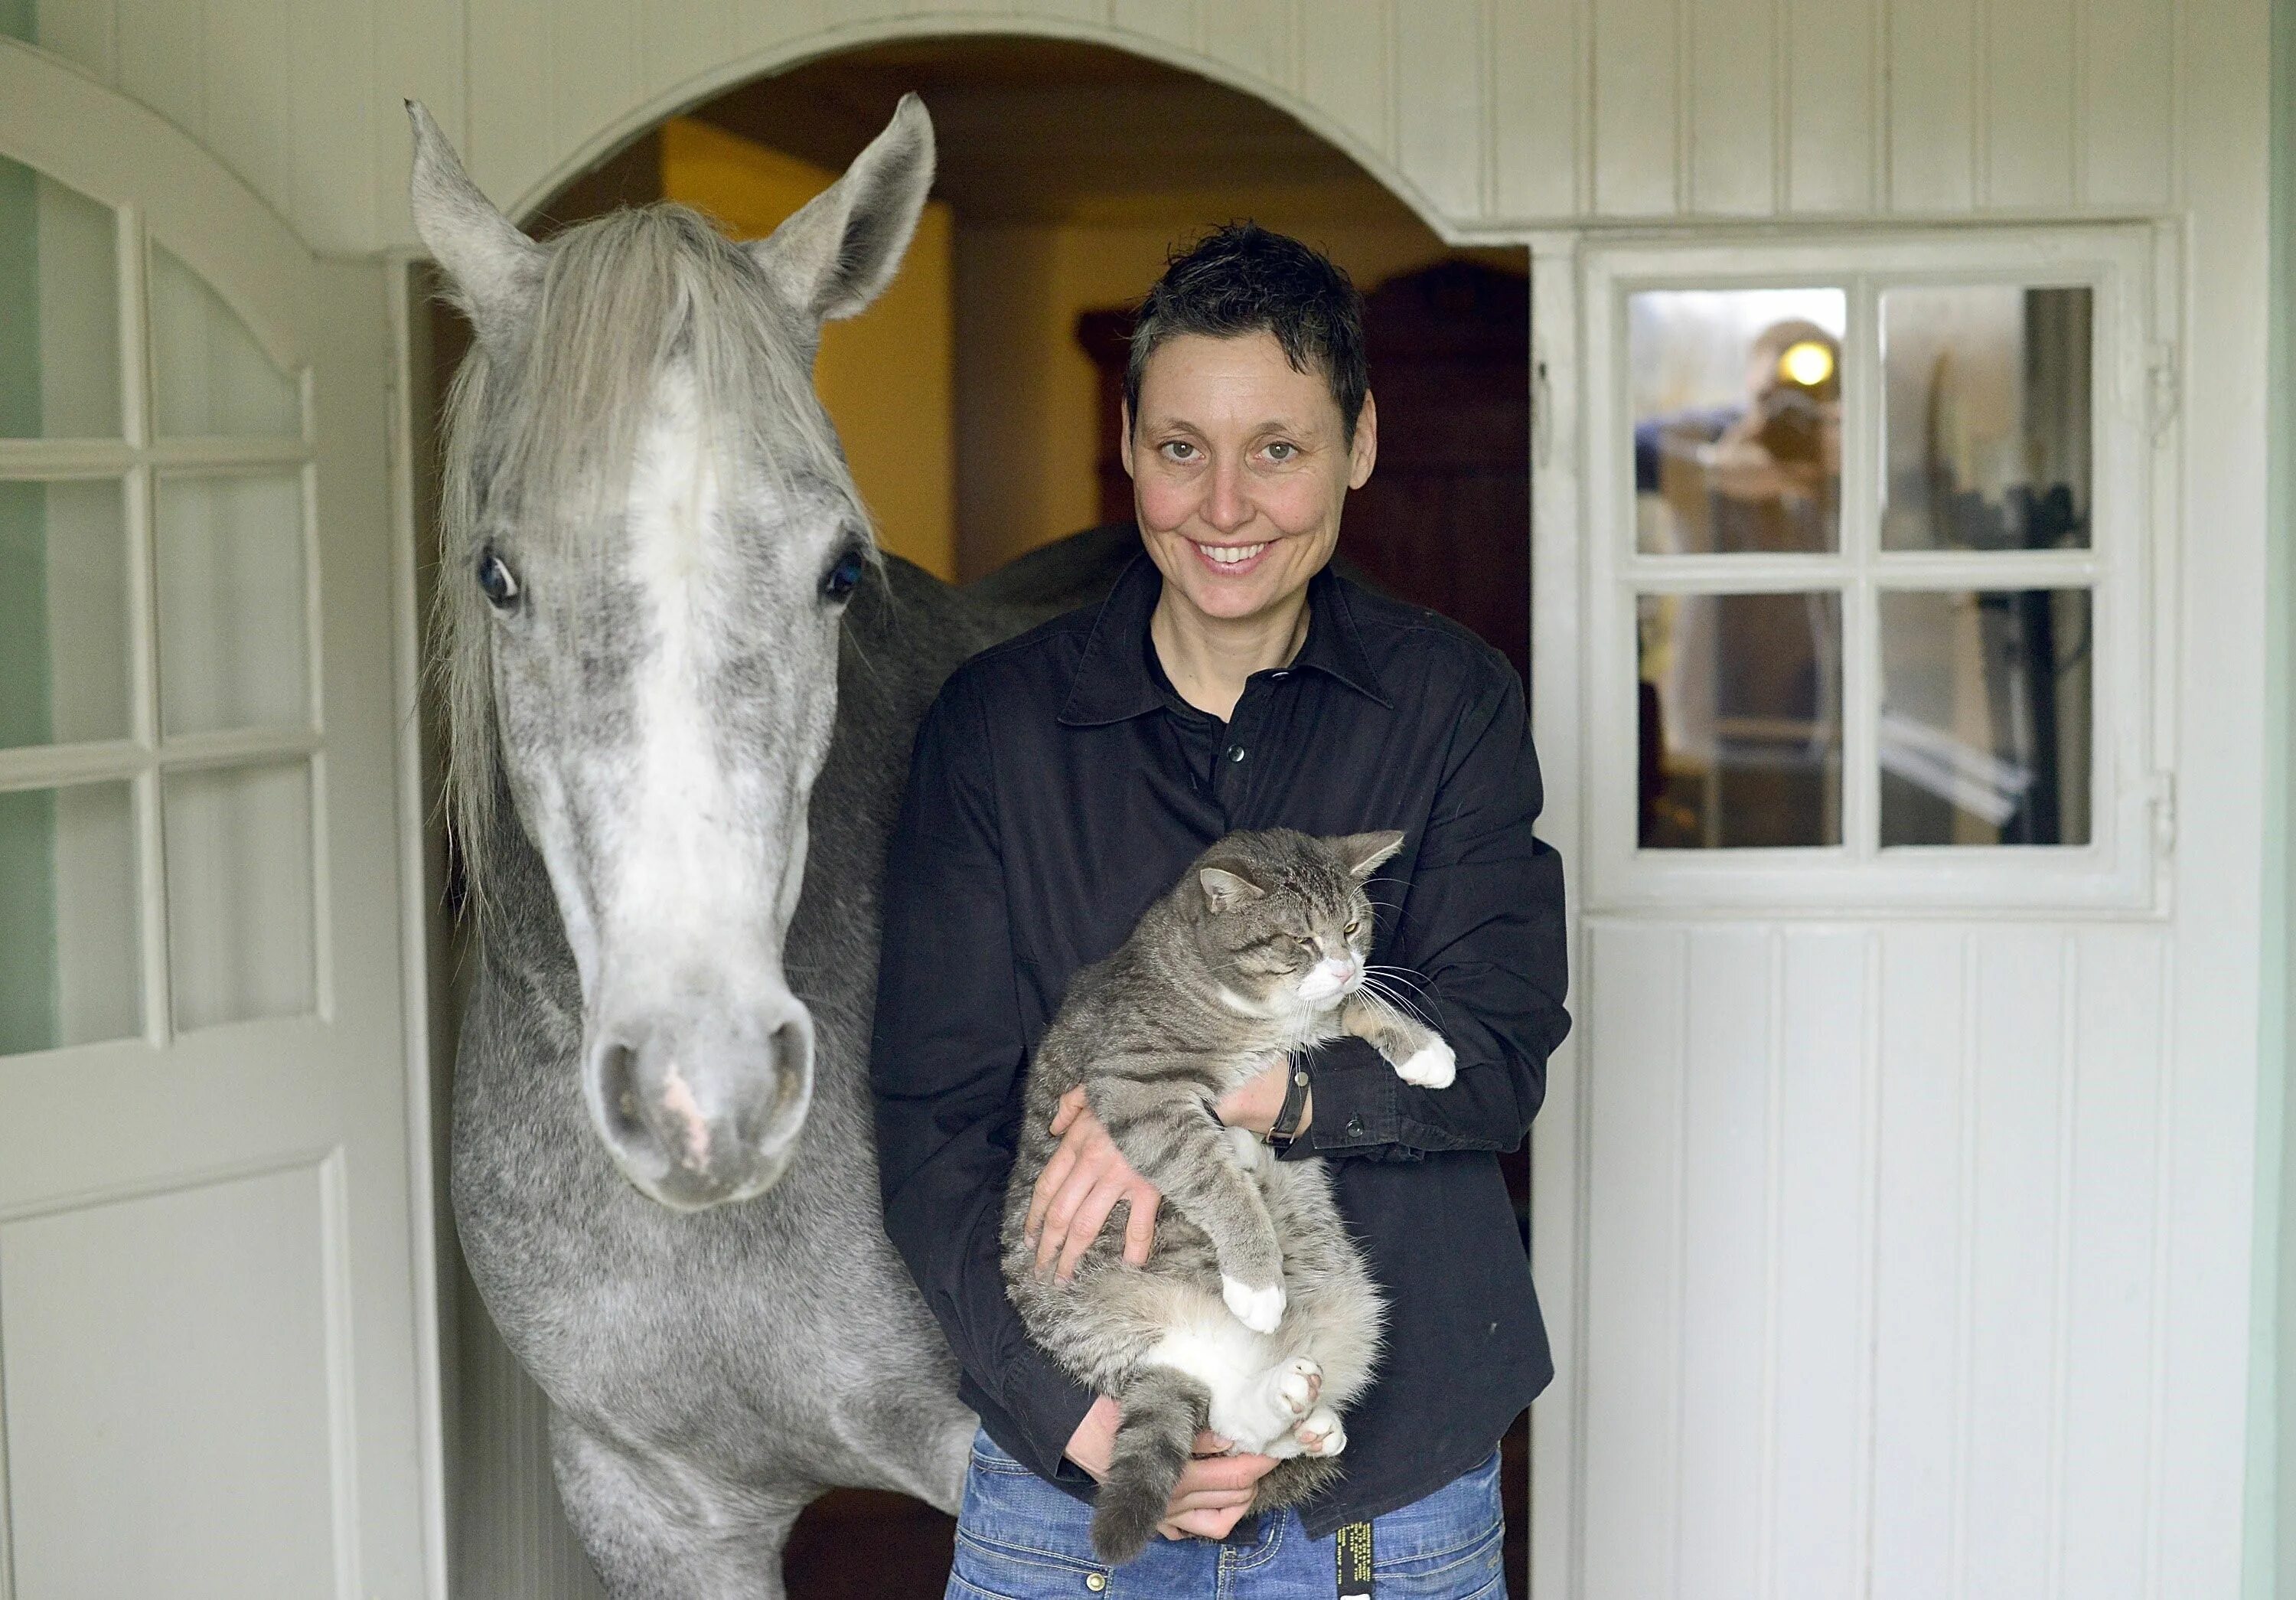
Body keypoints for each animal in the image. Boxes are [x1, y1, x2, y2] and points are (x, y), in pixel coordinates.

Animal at [1001, 821, 1460, 1561]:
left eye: (1352, 926)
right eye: (1299, 939)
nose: (1342, 964)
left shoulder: (1316, 1014)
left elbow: (1359, 1003)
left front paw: (1421, 1049)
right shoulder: (1138, 1093)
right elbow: (1215, 1180)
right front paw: (1258, 1278)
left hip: (1357, 1305)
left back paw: (1311, 1419)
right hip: (1110, 1325)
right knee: (1222, 1416)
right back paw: (1281, 1388)